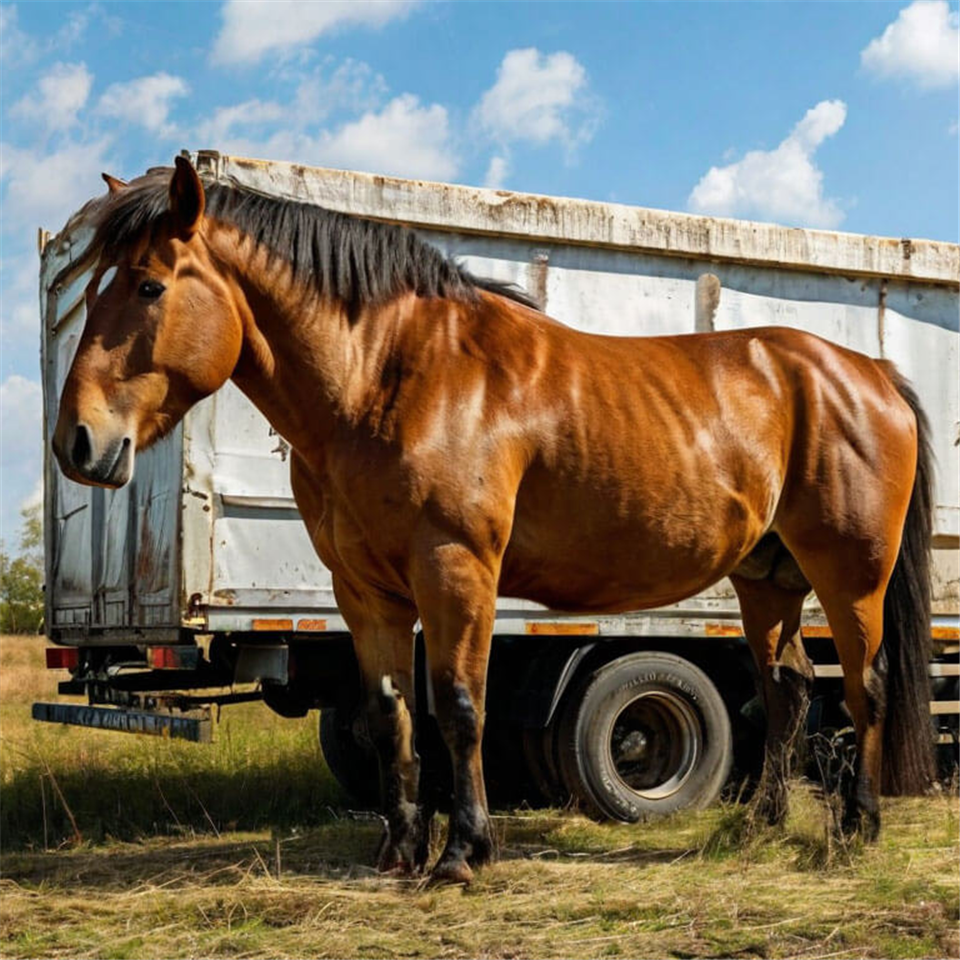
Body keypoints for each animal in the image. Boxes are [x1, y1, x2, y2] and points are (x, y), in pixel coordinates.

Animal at [50, 159, 928, 884]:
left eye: (149, 286)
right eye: (90, 292)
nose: (78, 442)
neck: (391, 377)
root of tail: (867, 371)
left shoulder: (456, 568)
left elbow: (459, 707)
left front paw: (463, 853)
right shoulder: (364, 592)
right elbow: (390, 715)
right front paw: (399, 850)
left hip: (851, 575)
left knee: (865, 685)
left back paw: (858, 827)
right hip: (767, 579)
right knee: (786, 689)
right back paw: (760, 825)